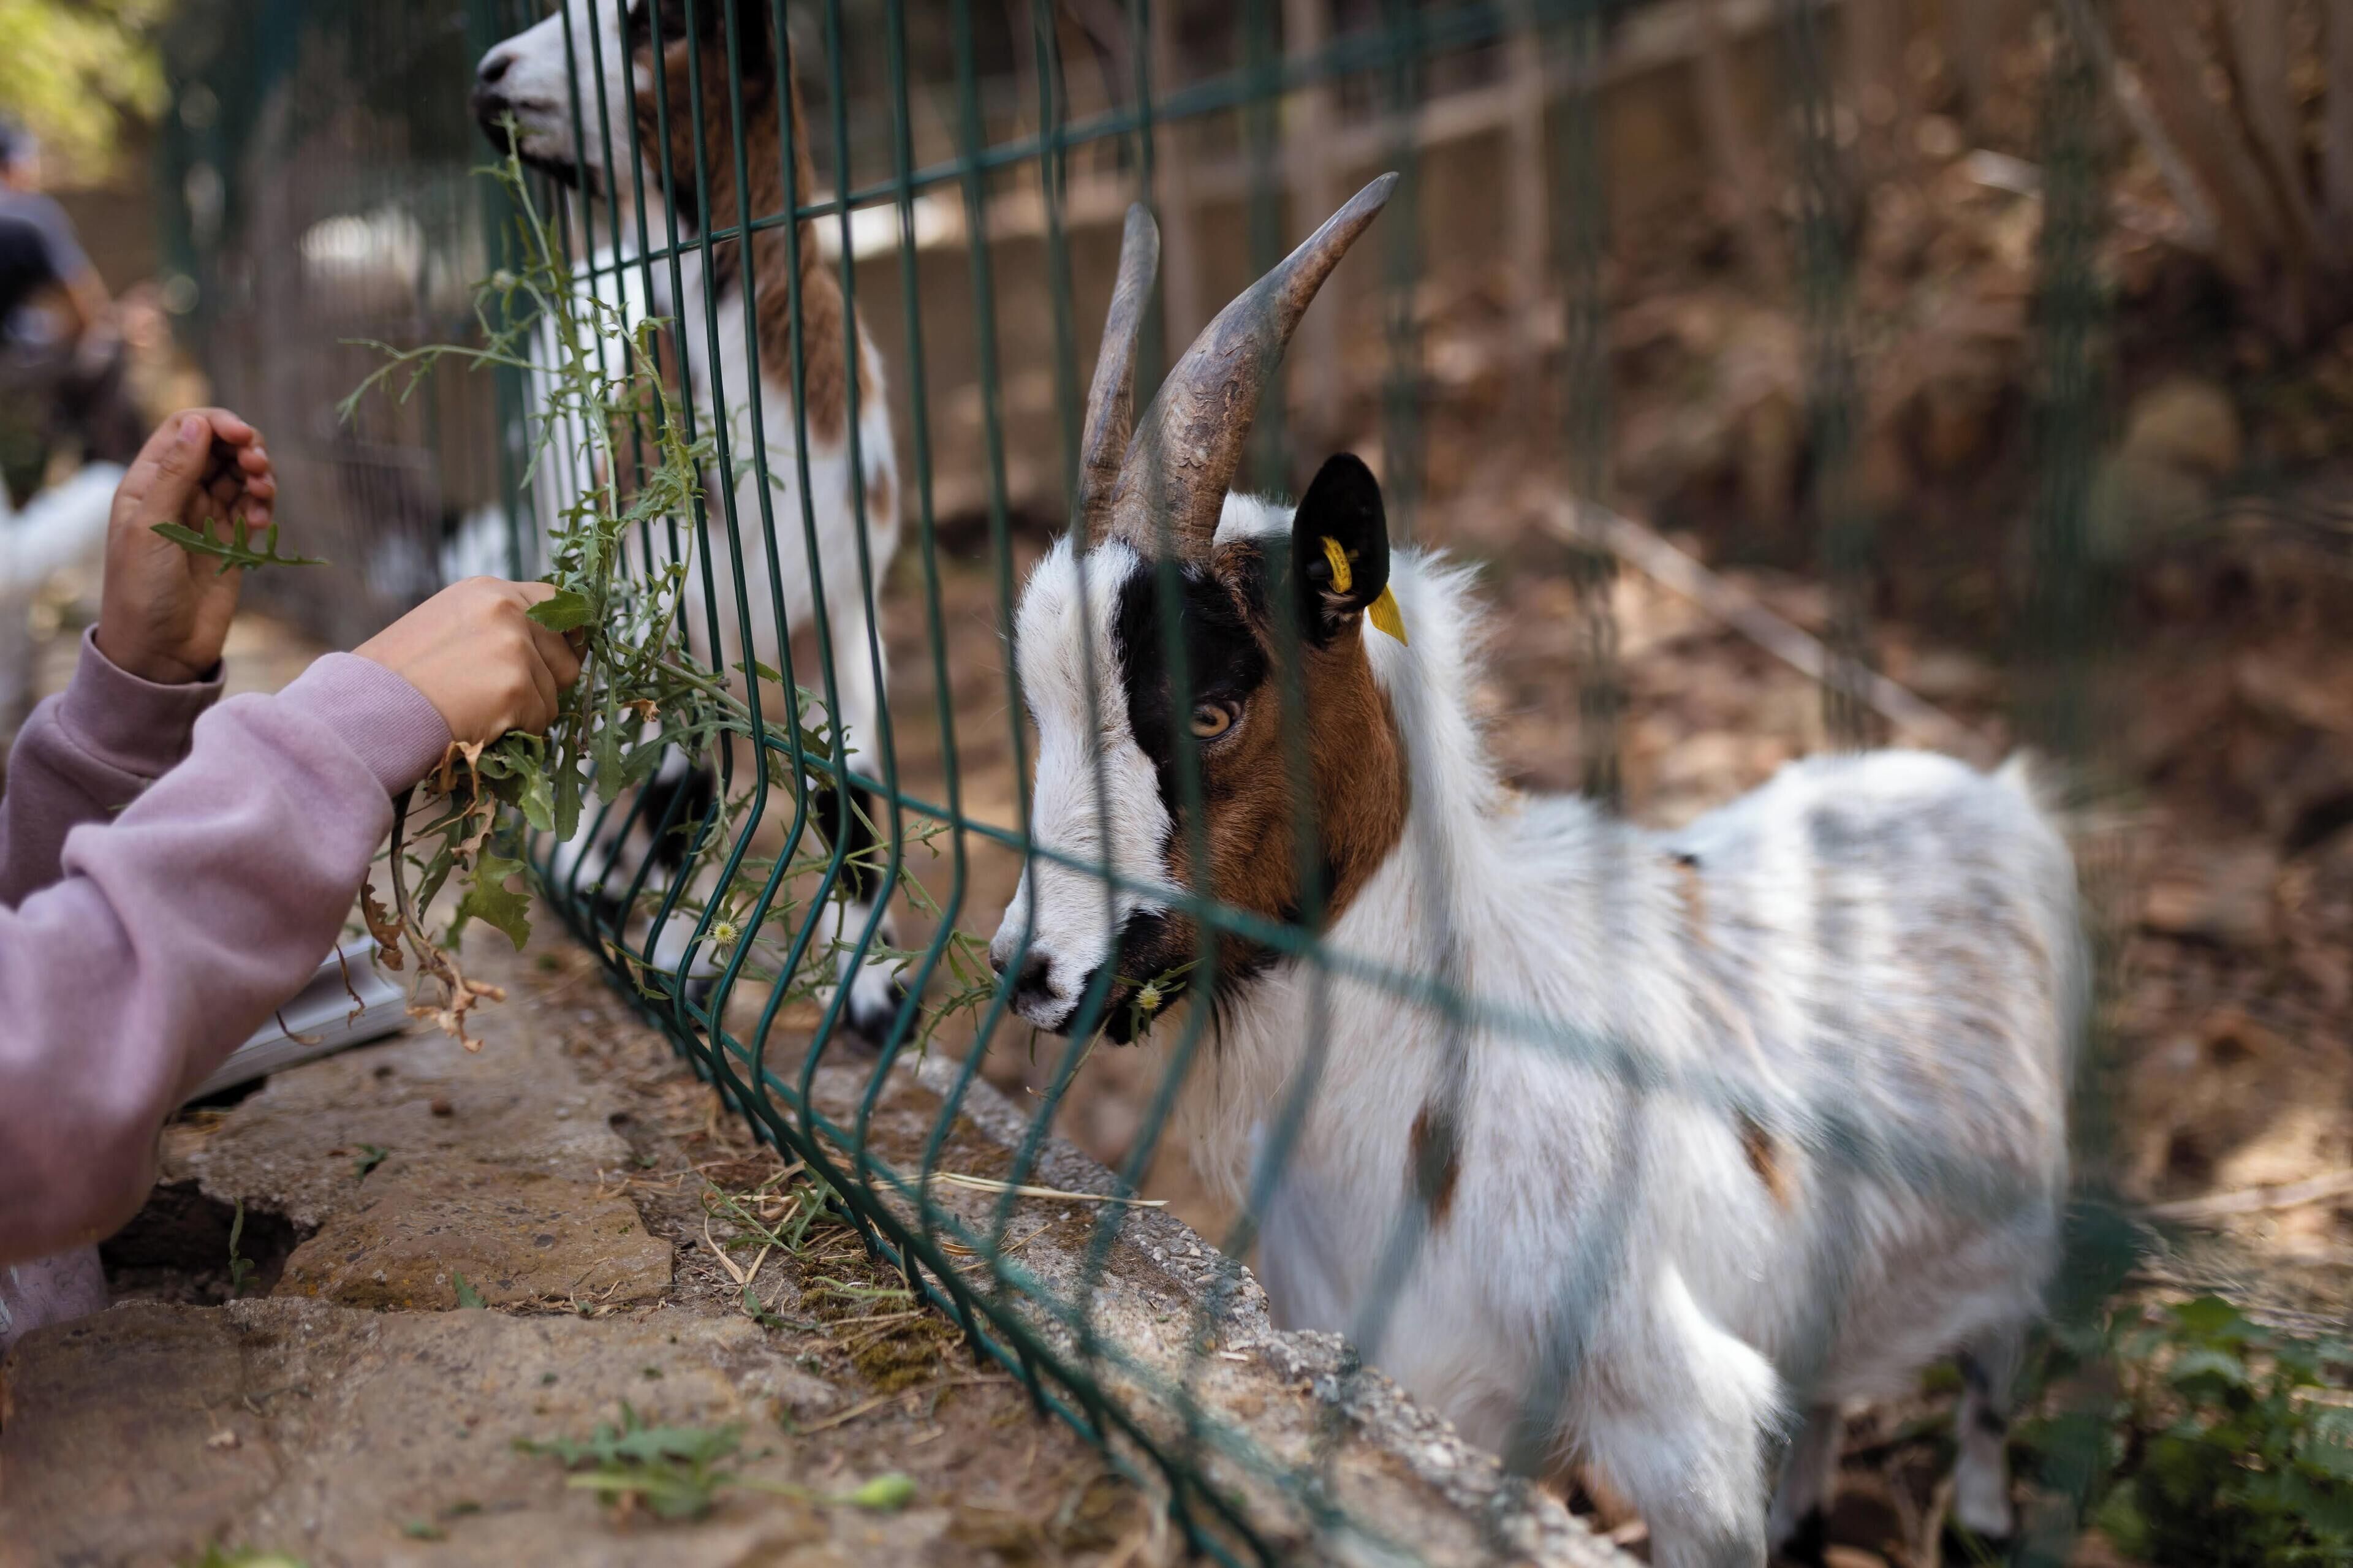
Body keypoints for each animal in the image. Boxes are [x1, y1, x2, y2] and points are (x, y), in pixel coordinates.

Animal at [474, 0, 904, 1037]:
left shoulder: (846, 607)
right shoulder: (660, 612)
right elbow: (685, 788)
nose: (489, 75)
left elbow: (850, 787)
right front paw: (676, 958)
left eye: (658, 23)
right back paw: (592, 870)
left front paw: (875, 988)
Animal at [987, 184, 2085, 1567]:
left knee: (1994, 1357)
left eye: (1213, 709)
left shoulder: (1680, 1425)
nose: (1023, 966)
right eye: (1035, 709)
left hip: (2015, 1229)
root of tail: (1988, 790)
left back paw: (1982, 1508)